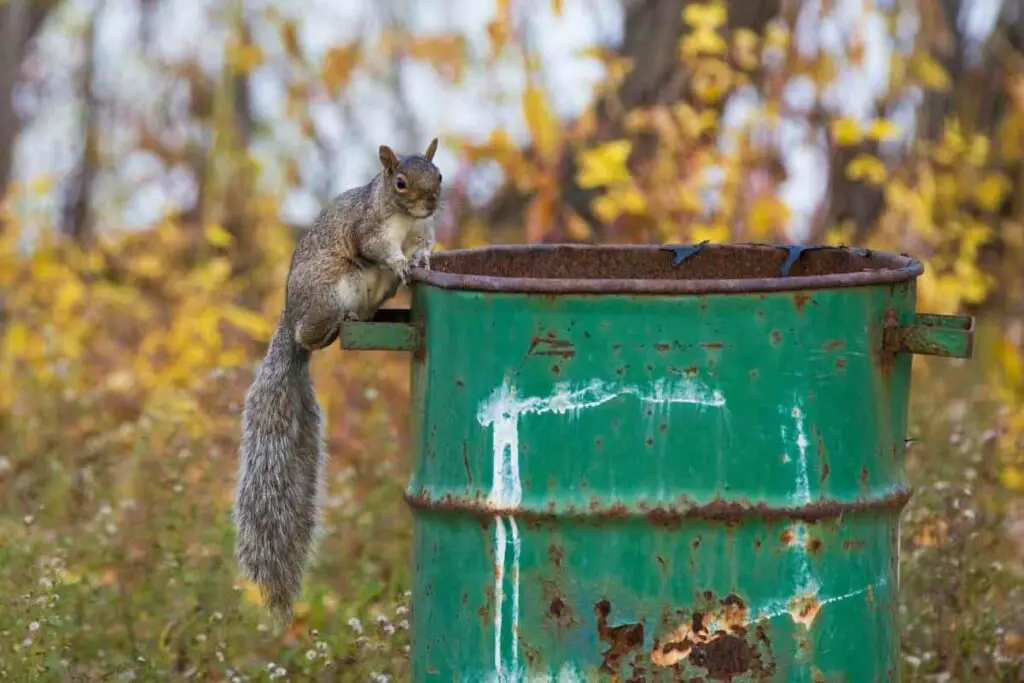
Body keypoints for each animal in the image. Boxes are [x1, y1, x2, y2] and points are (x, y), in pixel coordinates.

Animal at [234, 137, 442, 626]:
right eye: (400, 182)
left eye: (439, 175)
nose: (431, 202)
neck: (405, 220)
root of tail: (292, 316)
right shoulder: (369, 230)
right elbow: (381, 249)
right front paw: (401, 261)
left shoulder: (423, 230)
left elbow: (424, 246)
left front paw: (421, 259)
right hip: (332, 290)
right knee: (312, 334)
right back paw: (334, 324)